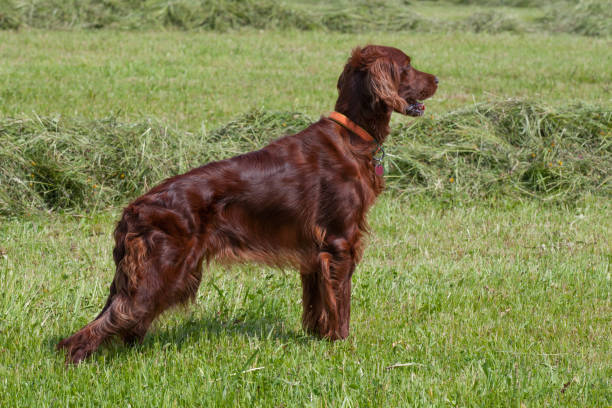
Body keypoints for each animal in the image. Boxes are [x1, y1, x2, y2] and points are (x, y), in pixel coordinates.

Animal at [57, 44, 438, 364]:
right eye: (407, 67)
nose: (437, 80)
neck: (352, 136)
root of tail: (133, 210)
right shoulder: (339, 244)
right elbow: (339, 305)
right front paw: (341, 344)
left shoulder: (315, 255)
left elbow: (317, 306)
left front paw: (318, 339)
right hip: (164, 270)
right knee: (112, 319)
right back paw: (77, 359)